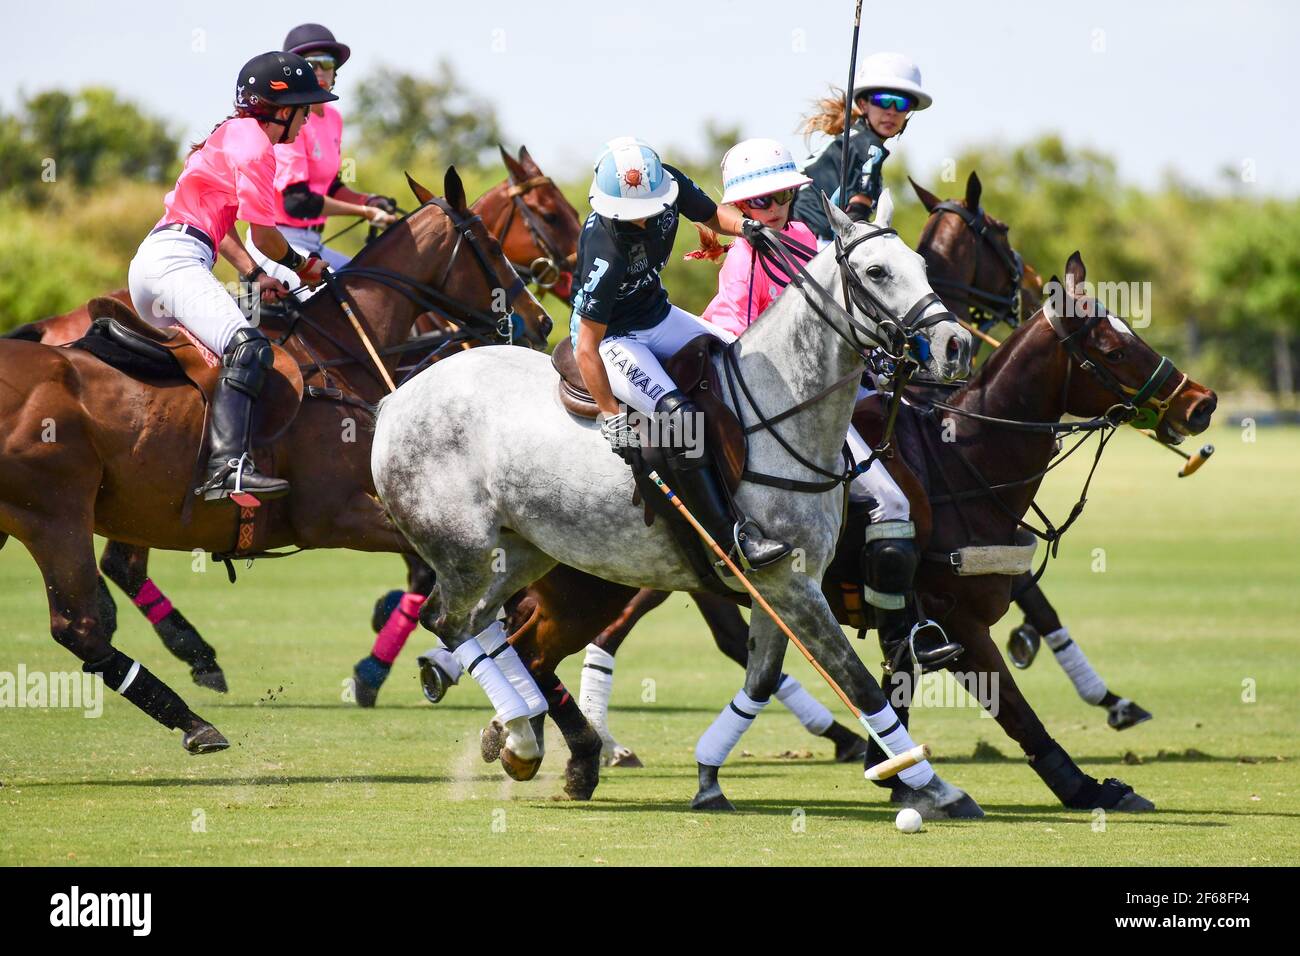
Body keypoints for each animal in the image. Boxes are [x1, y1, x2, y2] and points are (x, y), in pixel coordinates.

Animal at [0, 170, 553, 754]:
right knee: (85, 622)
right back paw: (196, 711)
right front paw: (515, 718)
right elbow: (456, 589)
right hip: (55, 515)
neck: (342, 354)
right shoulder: (334, 513)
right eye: (489, 244)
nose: (540, 322)